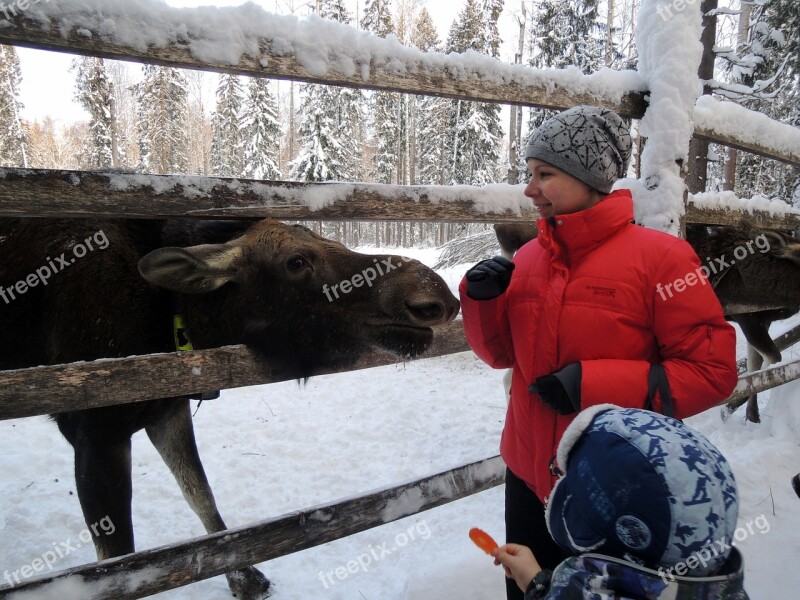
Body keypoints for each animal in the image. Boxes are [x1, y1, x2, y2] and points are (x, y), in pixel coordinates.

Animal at [0, 218, 460, 596]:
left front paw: (245, 577)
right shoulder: (96, 432)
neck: (170, 320)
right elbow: (117, 560)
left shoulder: (167, 411)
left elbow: (202, 496)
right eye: (295, 262)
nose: (433, 295)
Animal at [494, 223, 800, 424]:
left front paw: (750, 414)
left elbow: (758, 365)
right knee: (511, 373)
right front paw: (732, 407)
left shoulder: (760, 319)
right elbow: (772, 359)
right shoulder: (747, 317)